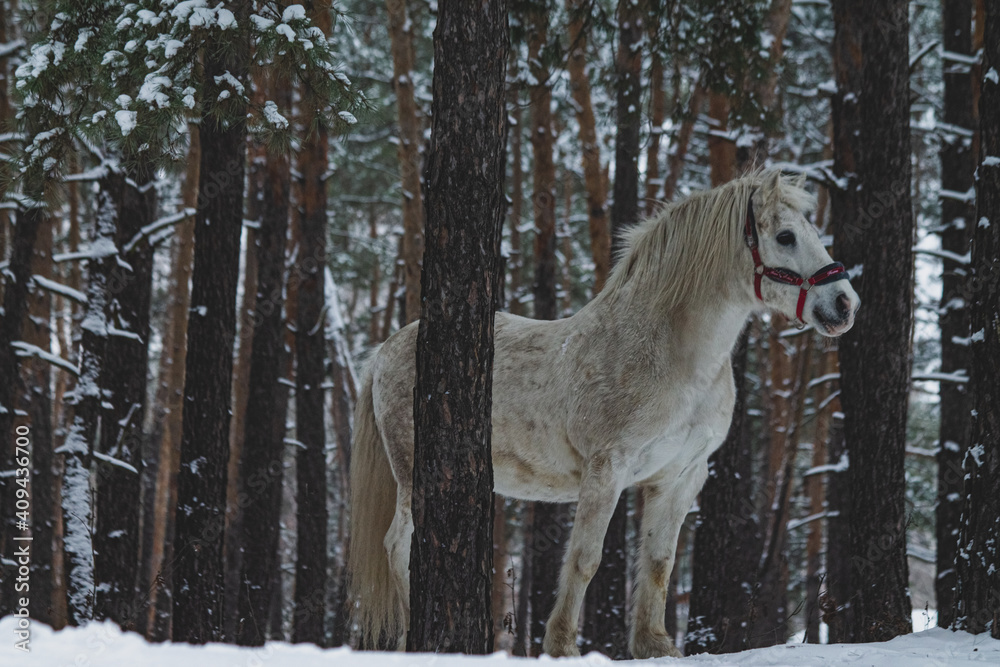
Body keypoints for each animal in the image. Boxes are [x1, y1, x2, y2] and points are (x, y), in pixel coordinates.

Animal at [347, 169, 859, 658]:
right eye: (786, 236)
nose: (844, 304)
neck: (673, 359)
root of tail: (385, 351)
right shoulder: (607, 468)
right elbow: (585, 559)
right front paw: (562, 646)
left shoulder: (680, 476)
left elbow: (659, 562)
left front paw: (655, 645)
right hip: (412, 478)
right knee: (399, 546)